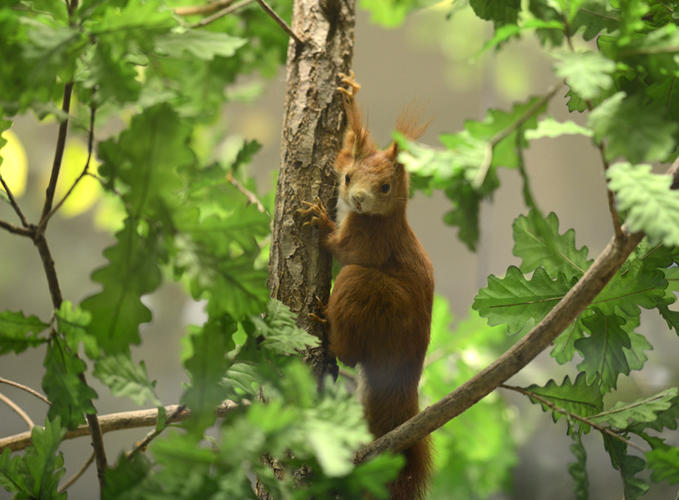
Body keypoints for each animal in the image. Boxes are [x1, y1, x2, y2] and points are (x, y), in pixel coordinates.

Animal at [300, 72, 434, 500]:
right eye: (347, 177)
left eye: (386, 188)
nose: (357, 199)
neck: (381, 218)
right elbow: (350, 147)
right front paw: (349, 98)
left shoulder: (371, 242)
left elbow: (342, 248)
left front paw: (320, 219)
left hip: (365, 289)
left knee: (349, 353)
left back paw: (326, 325)